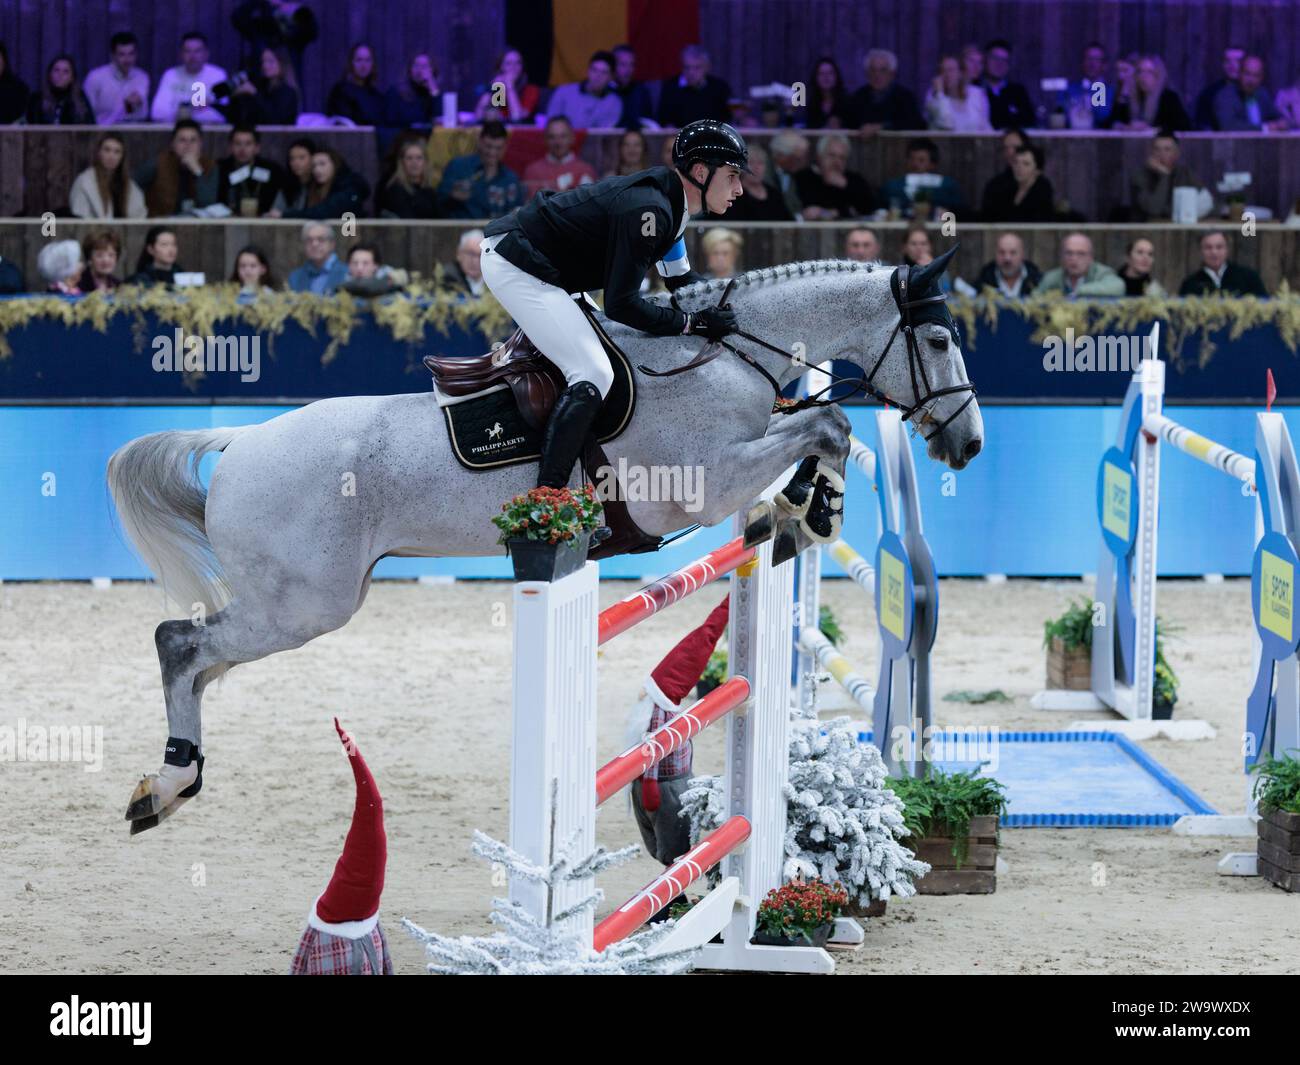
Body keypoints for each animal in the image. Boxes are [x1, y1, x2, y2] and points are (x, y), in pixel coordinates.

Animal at [111, 252, 977, 832]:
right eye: (938, 341)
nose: (966, 443)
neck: (720, 356)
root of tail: (237, 442)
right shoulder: (703, 482)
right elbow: (827, 420)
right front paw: (810, 506)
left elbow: (824, 424)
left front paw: (806, 508)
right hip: (300, 606)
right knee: (178, 642)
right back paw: (164, 783)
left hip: (301, 603)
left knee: (199, 658)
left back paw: (174, 781)